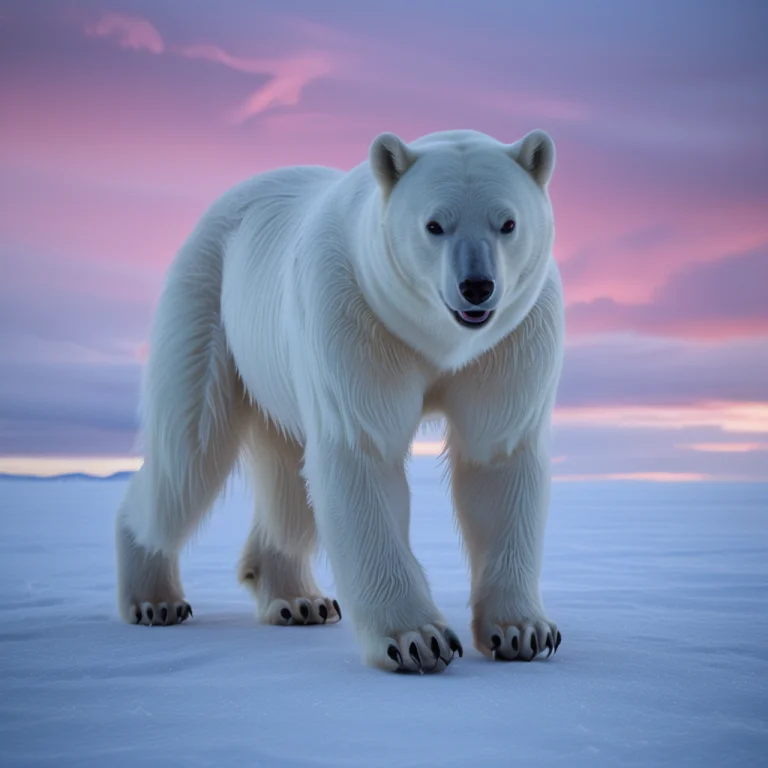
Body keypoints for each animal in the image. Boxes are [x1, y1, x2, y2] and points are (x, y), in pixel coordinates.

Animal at [115, 127, 564, 673]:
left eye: (508, 222)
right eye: (434, 224)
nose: (476, 287)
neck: (438, 341)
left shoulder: (511, 341)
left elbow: (496, 457)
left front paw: (523, 632)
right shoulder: (354, 315)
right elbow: (361, 451)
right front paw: (417, 640)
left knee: (290, 481)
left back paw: (298, 600)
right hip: (207, 303)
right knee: (187, 456)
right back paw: (155, 600)